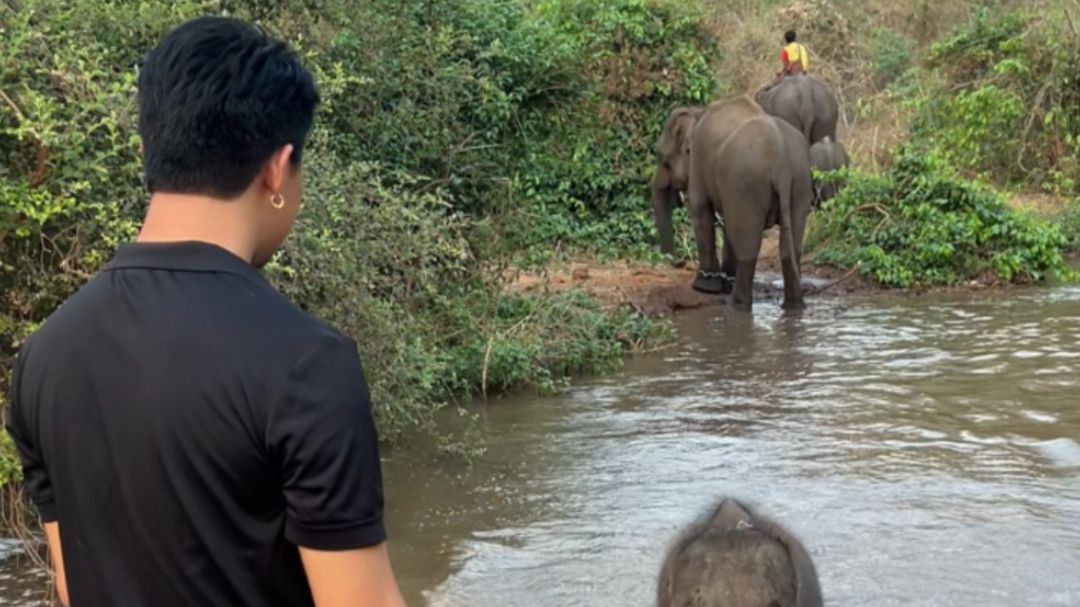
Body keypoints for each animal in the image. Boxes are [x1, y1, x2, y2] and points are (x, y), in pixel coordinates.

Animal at [687, 99, 814, 310]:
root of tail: (780, 160)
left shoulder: (697, 153)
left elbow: (700, 208)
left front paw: (703, 288)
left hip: (747, 180)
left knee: (748, 246)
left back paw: (736, 306)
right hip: (800, 179)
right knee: (790, 245)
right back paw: (794, 306)